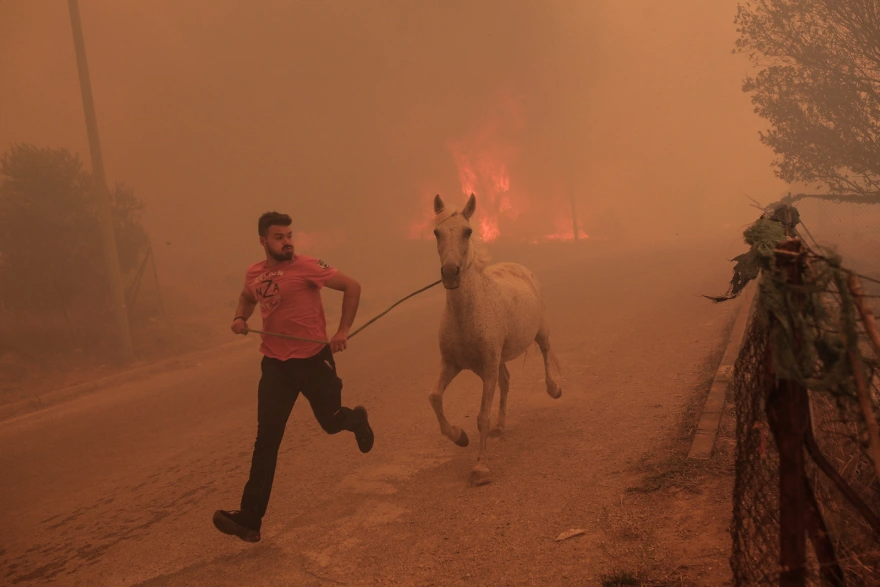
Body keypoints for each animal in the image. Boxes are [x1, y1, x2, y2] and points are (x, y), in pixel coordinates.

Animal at [428, 194, 564, 486]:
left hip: (540, 332)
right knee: (507, 380)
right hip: (498, 359)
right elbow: (434, 397)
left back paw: (553, 389)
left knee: (545, 353)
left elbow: (481, 417)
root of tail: (521, 268)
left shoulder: (488, 368)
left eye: (467, 232)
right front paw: (458, 436)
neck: (467, 314)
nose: (450, 273)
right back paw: (501, 425)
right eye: (436, 232)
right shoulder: (451, 364)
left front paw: (480, 468)